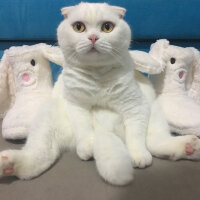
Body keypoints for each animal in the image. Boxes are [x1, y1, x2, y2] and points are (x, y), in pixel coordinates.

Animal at [0, 2, 200, 186]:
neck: (97, 75)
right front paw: (87, 145)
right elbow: (84, 127)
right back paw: (10, 164)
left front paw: (137, 156)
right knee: (37, 157)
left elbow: (135, 136)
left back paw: (189, 147)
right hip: (47, 119)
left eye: (107, 27)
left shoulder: (135, 106)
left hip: (154, 114)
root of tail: (105, 130)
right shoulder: (76, 105)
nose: (93, 37)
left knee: (155, 142)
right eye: (78, 27)